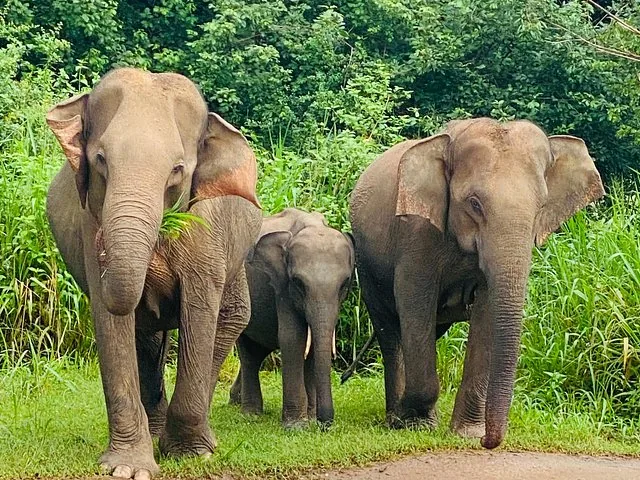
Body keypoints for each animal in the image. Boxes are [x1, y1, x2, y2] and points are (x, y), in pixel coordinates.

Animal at [45, 68, 262, 479]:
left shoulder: (206, 230)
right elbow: (113, 323)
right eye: (100, 159)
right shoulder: (89, 222)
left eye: (177, 169)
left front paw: (192, 455)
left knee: (229, 320)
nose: (102, 244)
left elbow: (200, 311)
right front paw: (128, 468)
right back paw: (156, 429)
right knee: (147, 339)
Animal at [228, 208, 355, 428]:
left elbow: (311, 345)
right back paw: (251, 414)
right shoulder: (282, 285)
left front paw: (310, 419)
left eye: (344, 284)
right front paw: (296, 426)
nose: (325, 425)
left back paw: (236, 401)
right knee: (249, 354)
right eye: (298, 283)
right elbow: (293, 338)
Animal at [349, 118, 604, 449]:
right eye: (474, 204)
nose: (487, 441)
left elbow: (486, 312)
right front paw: (414, 424)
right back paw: (396, 417)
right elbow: (414, 301)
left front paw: (466, 433)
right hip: (367, 265)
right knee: (390, 330)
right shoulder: (416, 232)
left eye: (541, 206)